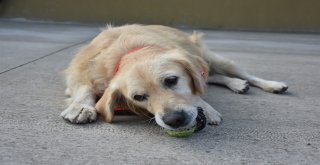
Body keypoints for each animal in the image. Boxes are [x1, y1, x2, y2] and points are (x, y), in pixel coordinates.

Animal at [60, 24, 288, 131]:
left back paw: (271, 85)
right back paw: (237, 84)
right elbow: (84, 88)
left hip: (214, 59)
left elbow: (196, 91)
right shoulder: (79, 71)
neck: (130, 51)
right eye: (138, 97)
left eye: (171, 80)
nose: (174, 120)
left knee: (237, 74)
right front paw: (80, 106)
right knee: (212, 77)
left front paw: (206, 108)